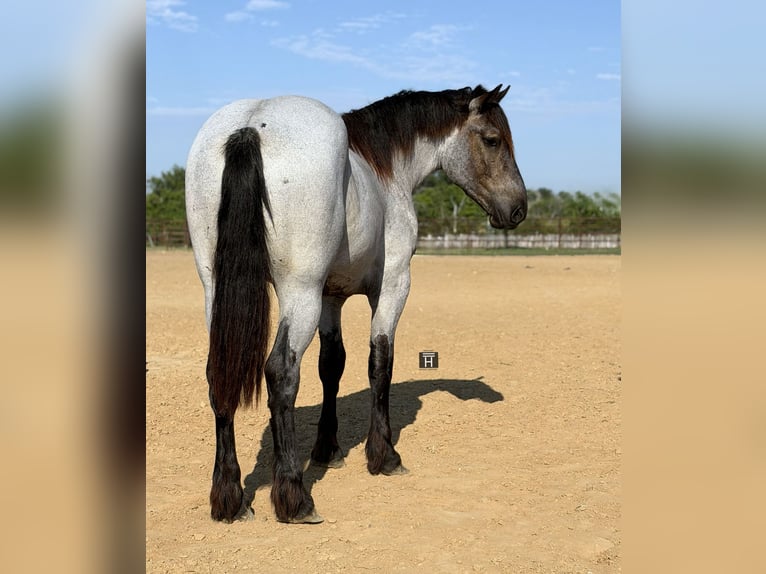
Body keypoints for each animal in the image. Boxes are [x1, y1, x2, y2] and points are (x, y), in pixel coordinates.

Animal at [185, 84, 527, 524]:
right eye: (492, 139)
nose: (518, 208)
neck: (385, 172)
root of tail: (249, 126)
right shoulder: (393, 285)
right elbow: (380, 361)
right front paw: (383, 455)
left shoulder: (330, 297)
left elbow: (332, 365)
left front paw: (327, 449)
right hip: (299, 291)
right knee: (281, 373)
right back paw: (294, 497)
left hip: (217, 289)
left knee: (219, 373)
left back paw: (228, 496)